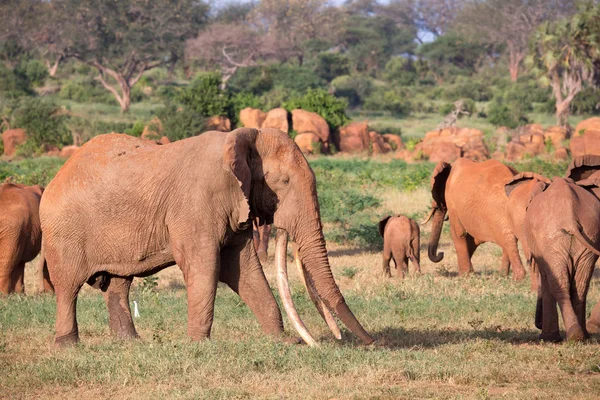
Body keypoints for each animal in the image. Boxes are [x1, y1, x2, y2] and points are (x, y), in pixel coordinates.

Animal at [41, 129, 376, 346]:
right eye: (283, 182)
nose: (371, 342)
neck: (242, 139)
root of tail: (56, 177)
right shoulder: (197, 204)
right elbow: (205, 267)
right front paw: (198, 346)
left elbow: (244, 270)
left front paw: (282, 341)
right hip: (63, 232)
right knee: (68, 287)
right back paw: (68, 345)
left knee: (118, 285)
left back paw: (131, 343)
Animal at [524, 179, 600, 344]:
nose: (537, 325)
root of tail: (570, 218)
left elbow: (546, 278)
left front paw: (547, 339)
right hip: (590, 235)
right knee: (580, 285)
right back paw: (581, 337)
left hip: (551, 240)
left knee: (559, 285)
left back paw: (573, 336)